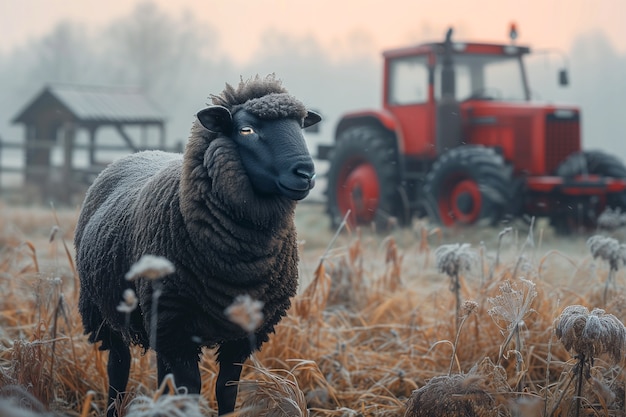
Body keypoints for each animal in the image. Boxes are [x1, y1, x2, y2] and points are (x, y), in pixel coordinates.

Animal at [74, 73, 322, 414]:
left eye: (301, 127)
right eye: (247, 130)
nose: (306, 173)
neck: (240, 263)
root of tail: (140, 151)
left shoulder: (243, 332)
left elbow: (226, 390)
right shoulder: (176, 325)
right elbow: (189, 389)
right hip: (104, 308)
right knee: (119, 365)